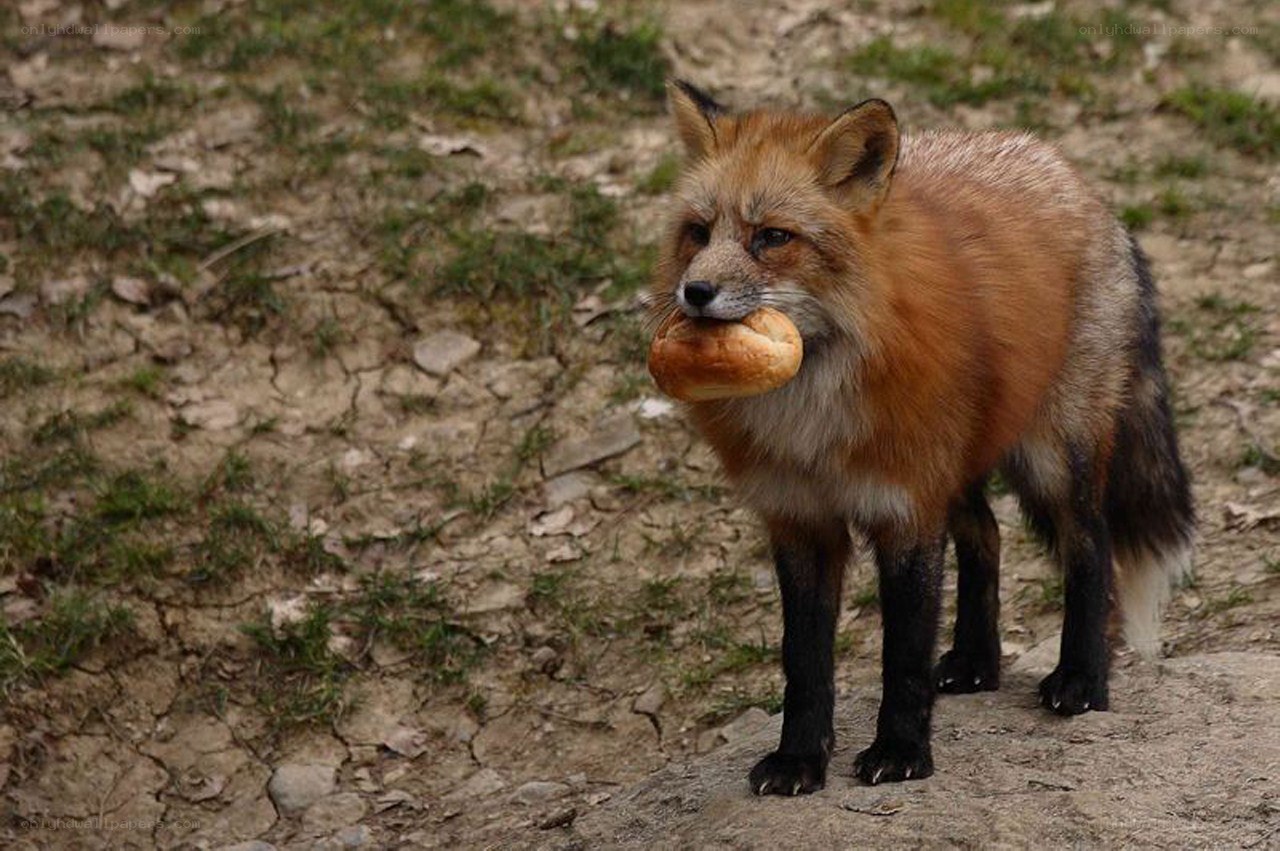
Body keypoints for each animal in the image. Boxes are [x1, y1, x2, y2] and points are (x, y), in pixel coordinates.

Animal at [646, 81, 1195, 794]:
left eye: (772, 237)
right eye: (698, 232)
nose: (695, 291)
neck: (811, 418)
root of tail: (1067, 171)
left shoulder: (904, 510)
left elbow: (901, 655)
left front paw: (901, 752)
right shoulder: (800, 520)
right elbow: (803, 662)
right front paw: (799, 760)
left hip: (1050, 457)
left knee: (1091, 548)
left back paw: (1081, 679)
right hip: (955, 465)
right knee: (986, 536)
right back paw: (975, 662)